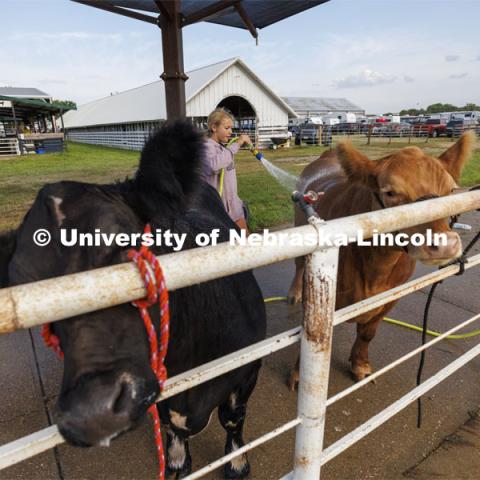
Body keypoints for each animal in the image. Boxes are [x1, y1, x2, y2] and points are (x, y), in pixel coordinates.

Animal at [286, 132, 474, 386]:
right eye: (390, 192)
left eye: (450, 192)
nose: (445, 245)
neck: (376, 267)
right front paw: (299, 374)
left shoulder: (393, 295)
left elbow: (368, 333)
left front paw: (360, 365)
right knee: (298, 266)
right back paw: (293, 293)